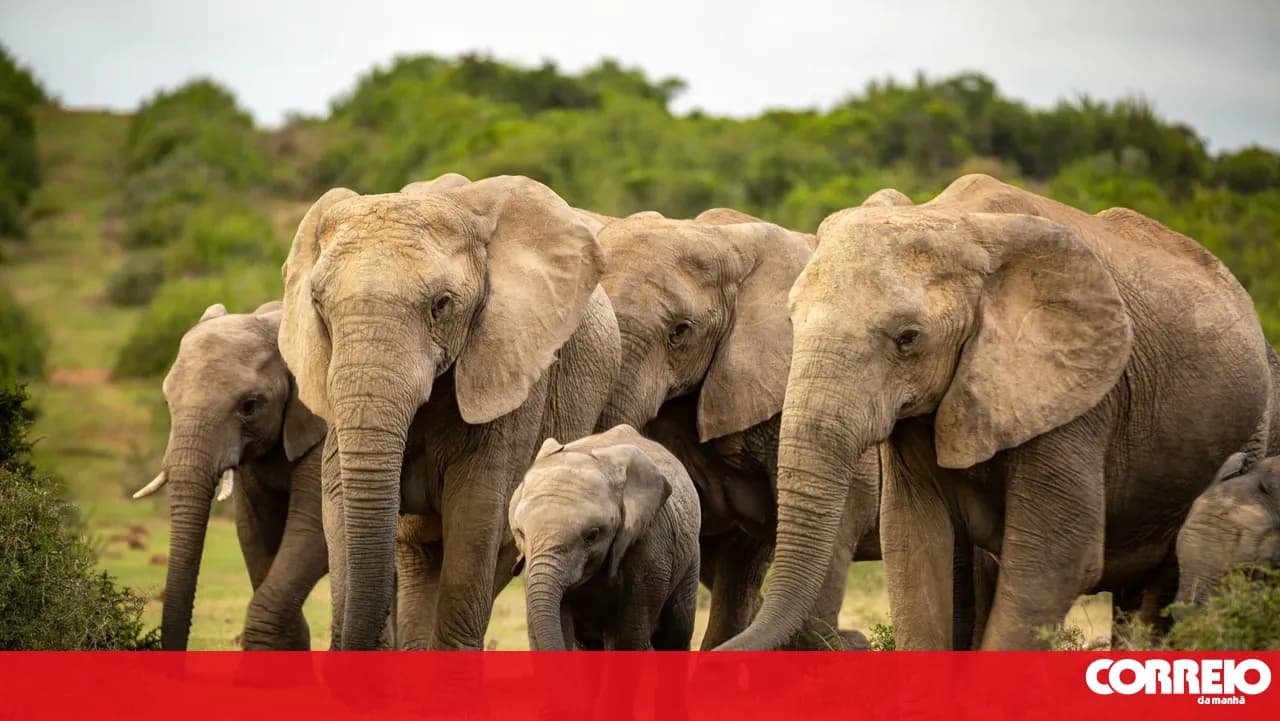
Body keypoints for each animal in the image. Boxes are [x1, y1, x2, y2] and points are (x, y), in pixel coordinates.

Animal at [278, 173, 619, 650]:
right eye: (318, 304)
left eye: (441, 305)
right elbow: (340, 498)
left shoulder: (509, 365)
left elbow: (477, 511)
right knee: (418, 555)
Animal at [509, 424, 700, 650]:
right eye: (520, 533)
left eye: (592, 536)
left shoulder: (650, 546)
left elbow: (627, 639)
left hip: (690, 555)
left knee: (676, 632)